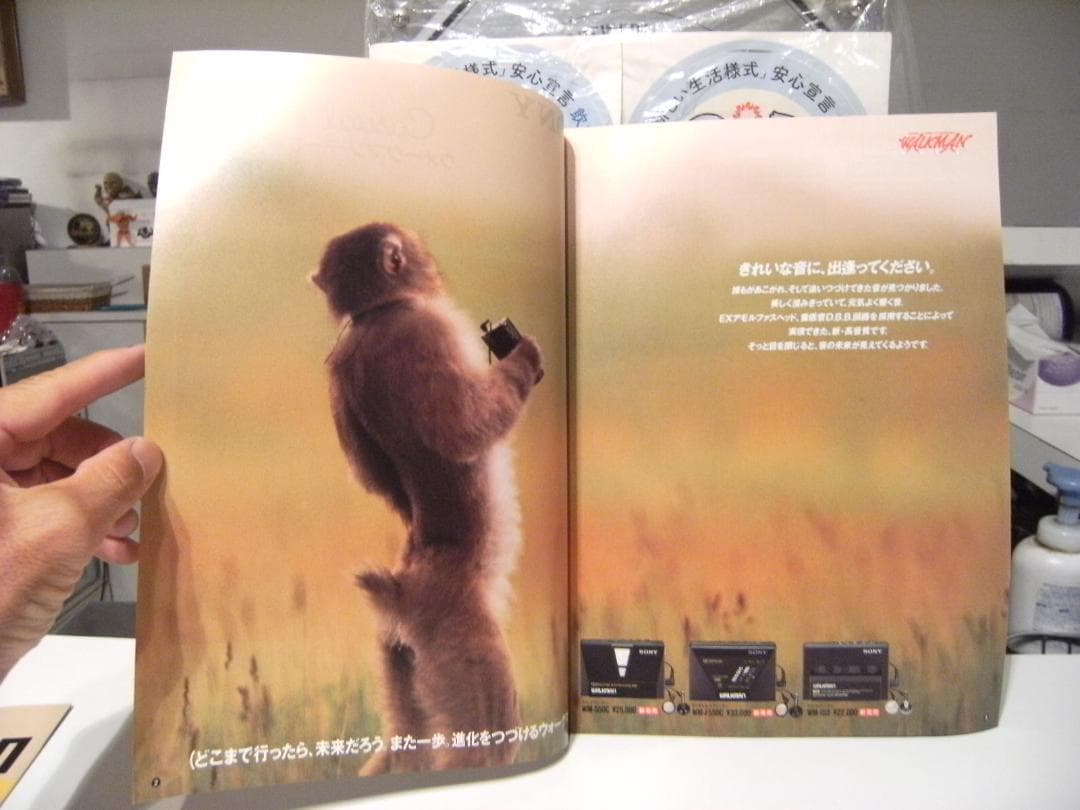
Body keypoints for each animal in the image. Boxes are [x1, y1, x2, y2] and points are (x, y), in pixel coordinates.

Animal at [311, 222, 544, 774]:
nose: (431, 264)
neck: (377, 312)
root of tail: (403, 589)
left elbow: (374, 477)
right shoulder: (424, 329)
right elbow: (460, 429)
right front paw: (523, 357)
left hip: (400, 655)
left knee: (407, 736)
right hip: (459, 636)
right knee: (484, 735)